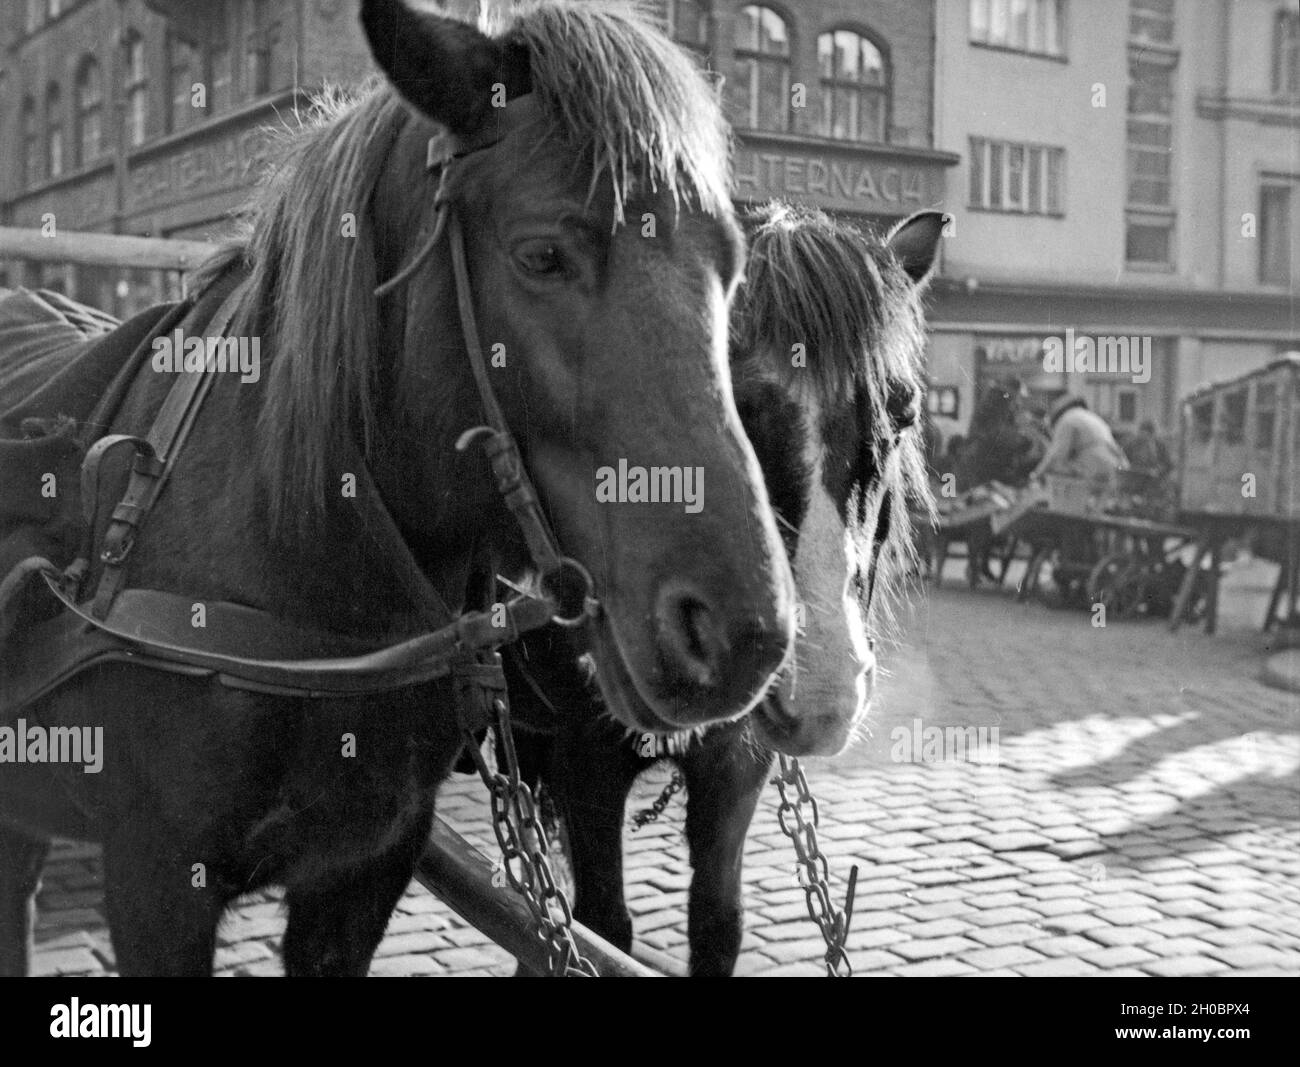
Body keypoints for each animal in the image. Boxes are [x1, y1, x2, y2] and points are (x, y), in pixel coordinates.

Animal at [501, 200, 941, 972]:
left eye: (903, 411)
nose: (824, 687)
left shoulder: (738, 760)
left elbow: (718, 920)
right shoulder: (582, 751)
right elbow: (601, 927)